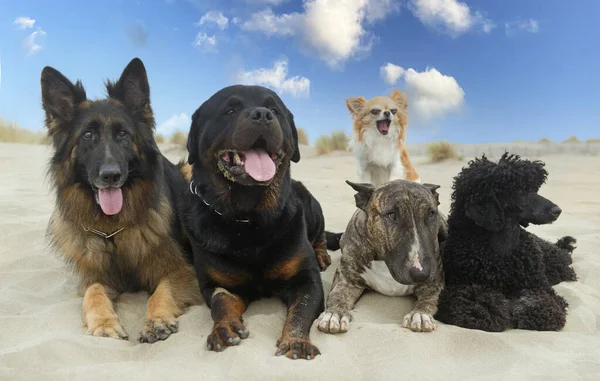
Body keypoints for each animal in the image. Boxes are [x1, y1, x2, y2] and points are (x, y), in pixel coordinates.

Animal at [42, 58, 203, 342]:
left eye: (123, 134)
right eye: (87, 135)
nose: (110, 175)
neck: (113, 231)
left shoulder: (181, 271)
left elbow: (161, 293)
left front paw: (156, 320)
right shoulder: (94, 277)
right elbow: (93, 293)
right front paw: (104, 324)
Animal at [185, 84, 326, 358]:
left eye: (274, 110)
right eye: (230, 110)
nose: (262, 115)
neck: (249, 220)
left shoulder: (307, 279)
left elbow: (301, 310)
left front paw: (295, 340)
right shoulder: (217, 283)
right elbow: (221, 301)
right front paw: (223, 327)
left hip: (314, 207)